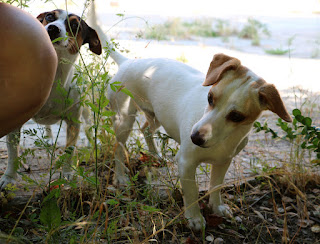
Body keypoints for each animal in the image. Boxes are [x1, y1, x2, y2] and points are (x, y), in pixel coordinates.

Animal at [0, 9, 101, 189]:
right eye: (49, 17)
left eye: (74, 25)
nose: (53, 28)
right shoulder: (15, 123)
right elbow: (13, 154)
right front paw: (9, 177)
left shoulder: (73, 123)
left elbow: (69, 150)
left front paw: (67, 174)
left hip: (86, 110)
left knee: (89, 125)